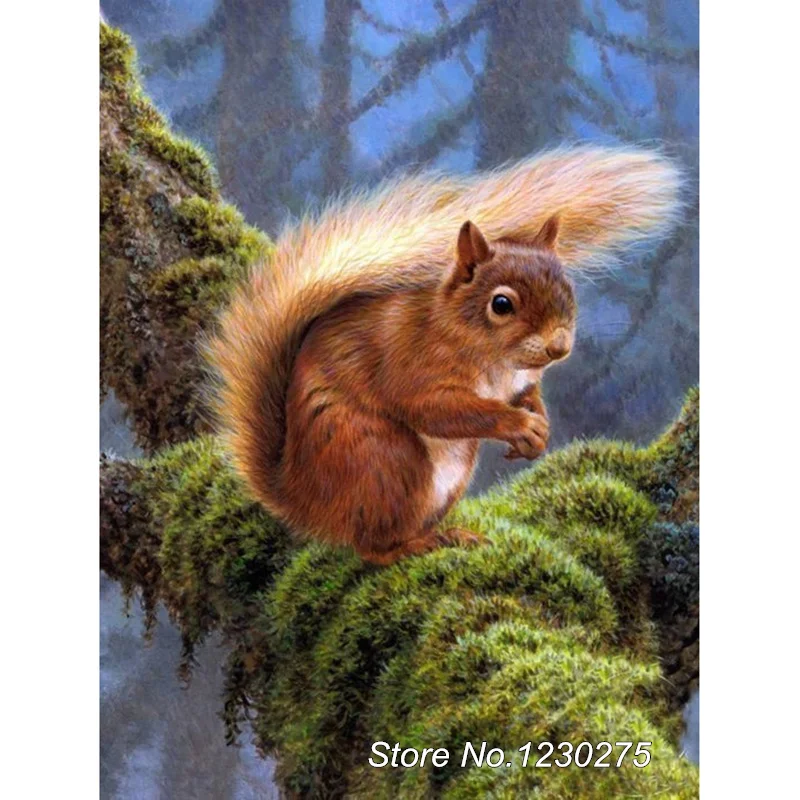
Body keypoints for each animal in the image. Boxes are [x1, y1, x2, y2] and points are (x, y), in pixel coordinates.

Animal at [208, 146, 681, 565]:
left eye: (567, 288)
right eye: (501, 304)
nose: (559, 346)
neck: (494, 359)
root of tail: (302, 497)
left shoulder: (519, 382)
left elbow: (528, 396)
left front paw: (539, 429)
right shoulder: (412, 364)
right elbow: (438, 409)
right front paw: (517, 424)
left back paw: (450, 534)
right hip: (383, 458)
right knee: (370, 547)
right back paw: (415, 546)